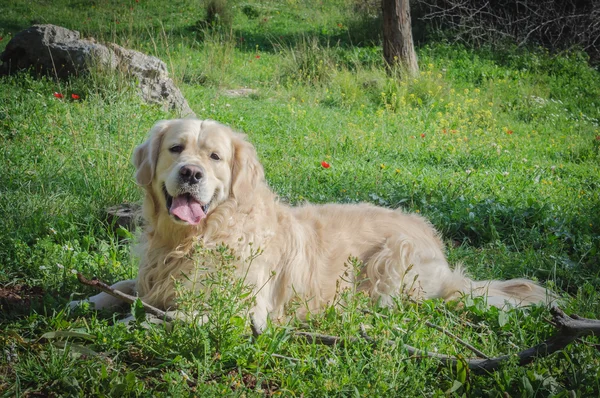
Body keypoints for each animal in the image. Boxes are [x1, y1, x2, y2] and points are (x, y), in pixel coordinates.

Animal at [72, 118, 556, 330]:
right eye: (176, 148)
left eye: (215, 157)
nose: (191, 174)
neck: (193, 239)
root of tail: (436, 244)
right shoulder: (153, 273)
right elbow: (127, 286)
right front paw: (89, 300)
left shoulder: (250, 309)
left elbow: (176, 314)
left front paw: (147, 318)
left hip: (392, 260)